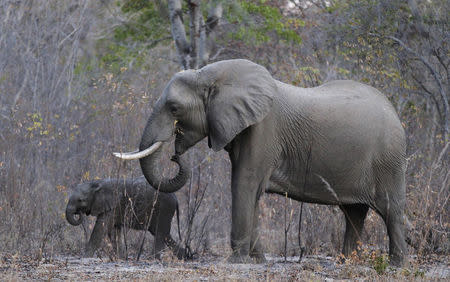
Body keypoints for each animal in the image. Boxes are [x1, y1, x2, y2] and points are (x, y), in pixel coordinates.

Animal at [115, 59, 408, 266]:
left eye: (174, 108)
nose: (175, 155)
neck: (211, 74)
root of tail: (394, 110)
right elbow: (251, 190)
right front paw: (258, 260)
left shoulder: (263, 130)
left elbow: (243, 183)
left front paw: (236, 260)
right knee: (354, 212)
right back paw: (347, 262)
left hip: (388, 159)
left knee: (390, 210)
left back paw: (396, 264)